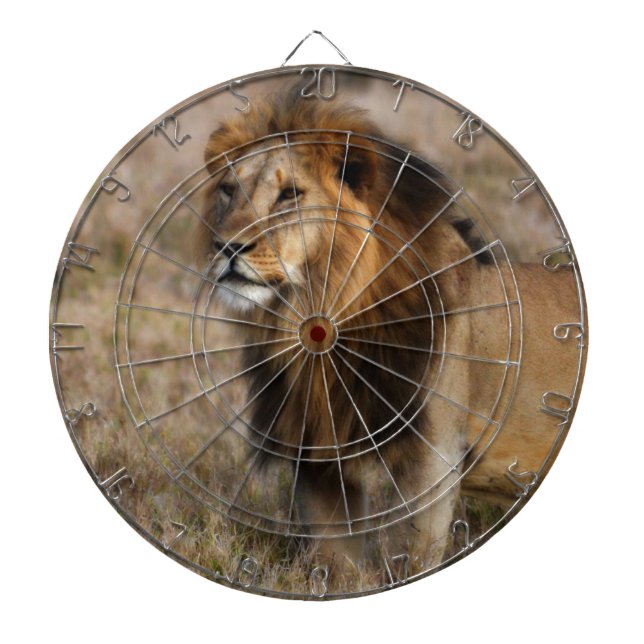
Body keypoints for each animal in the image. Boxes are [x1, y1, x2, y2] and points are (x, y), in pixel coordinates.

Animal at [196, 89, 583, 580]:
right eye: (229, 190)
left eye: (289, 195)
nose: (225, 247)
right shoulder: (318, 454)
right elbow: (333, 562)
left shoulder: (433, 457)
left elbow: (412, 555)